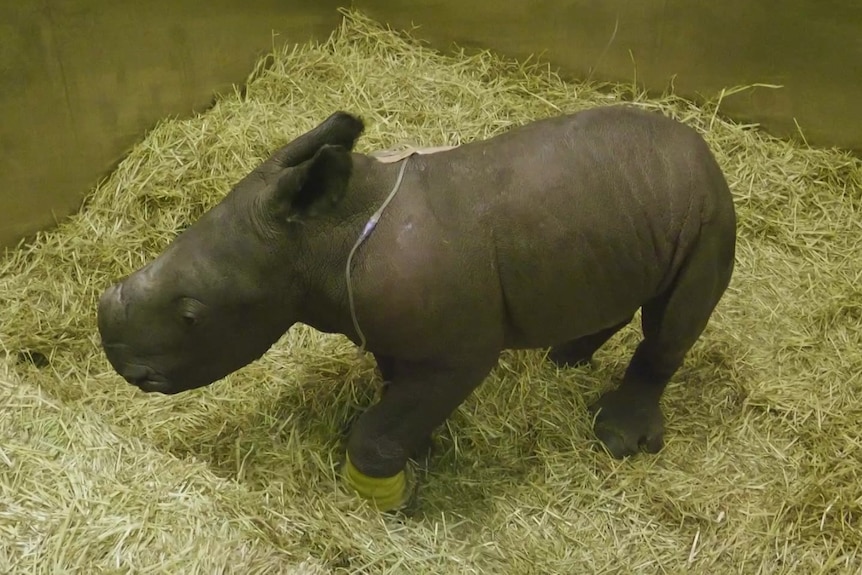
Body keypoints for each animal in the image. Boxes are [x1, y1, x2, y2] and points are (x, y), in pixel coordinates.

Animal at [99, 106, 736, 510]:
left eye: (191, 316)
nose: (120, 363)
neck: (320, 239)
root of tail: (705, 148)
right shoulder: (390, 328)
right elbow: (396, 398)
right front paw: (419, 452)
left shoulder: (458, 353)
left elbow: (380, 429)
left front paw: (392, 498)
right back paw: (564, 358)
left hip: (707, 213)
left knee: (670, 324)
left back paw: (615, 439)